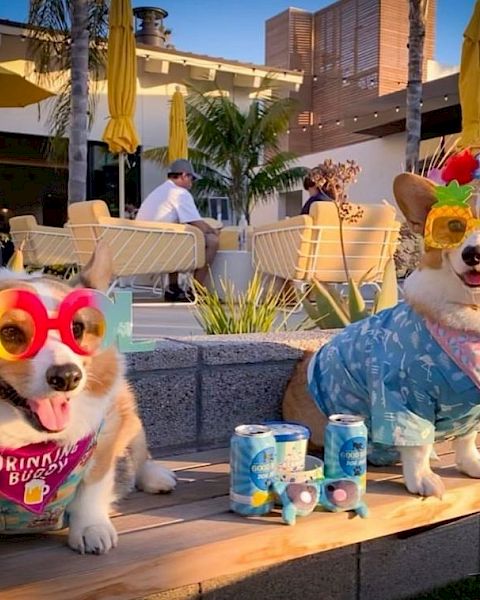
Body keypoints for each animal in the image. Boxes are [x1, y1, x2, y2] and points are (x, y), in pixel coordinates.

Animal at [0, 243, 176, 552]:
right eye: (9, 332)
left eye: (76, 329)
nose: (68, 377)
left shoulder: (102, 439)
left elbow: (92, 487)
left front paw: (91, 529)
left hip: (128, 411)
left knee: (140, 455)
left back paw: (155, 477)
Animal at [284, 171, 480, 500]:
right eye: (454, 226)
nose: (473, 254)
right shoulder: (404, 399)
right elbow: (417, 446)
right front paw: (421, 479)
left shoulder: (470, 409)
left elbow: (466, 441)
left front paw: (471, 464)